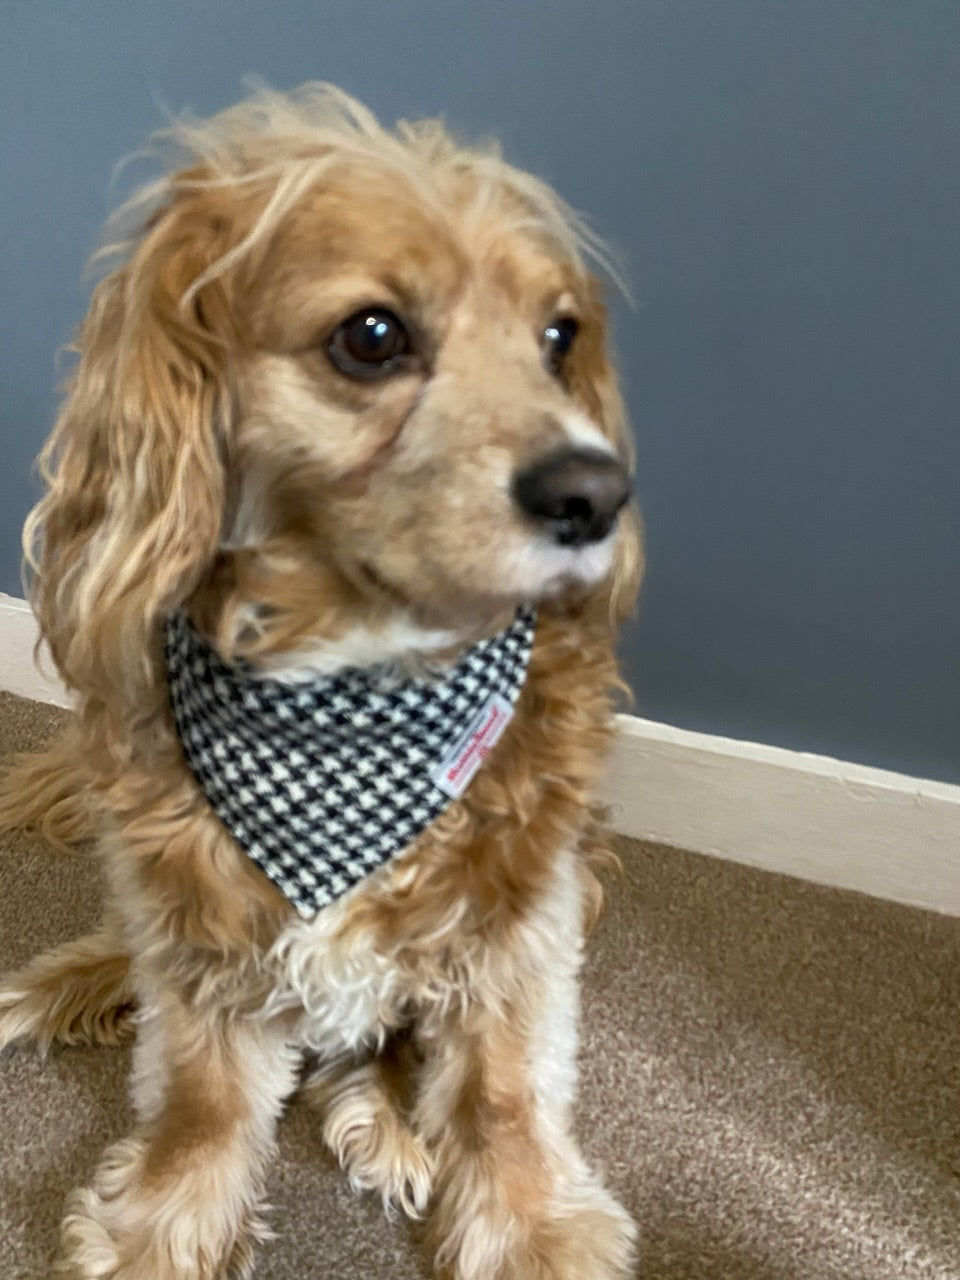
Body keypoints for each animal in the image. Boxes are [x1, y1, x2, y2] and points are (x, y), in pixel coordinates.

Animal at [1, 85, 647, 1274]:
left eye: (559, 337)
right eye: (373, 336)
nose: (598, 493)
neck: (353, 685)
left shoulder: (520, 918)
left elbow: (501, 1089)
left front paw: (531, 1229)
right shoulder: (199, 911)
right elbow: (202, 1093)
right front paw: (161, 1223)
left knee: (380, 1050)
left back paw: (384, 1121)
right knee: (138, 956)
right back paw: (58, 983)